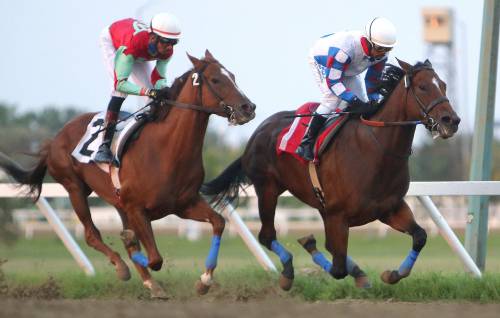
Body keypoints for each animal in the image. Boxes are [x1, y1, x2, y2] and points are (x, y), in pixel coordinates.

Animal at [0, 50, 256, 298]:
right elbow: (154, 258)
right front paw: (133, 251)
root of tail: (55, 139)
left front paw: (204, 281)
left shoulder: (184, 204)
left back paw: (150, 282)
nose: (248, 108)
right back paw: (123, 267)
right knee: (92, 235)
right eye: (216, 79)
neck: (166, 151)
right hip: (74, 188)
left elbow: (219, 222)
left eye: (233, 76)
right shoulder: (136, 208)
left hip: (118, 203)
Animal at [201, 59, 458, 290]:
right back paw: (288, 272)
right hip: (268, 189)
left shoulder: (389, 209)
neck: (376, 150)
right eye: (423, 86)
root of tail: (256, 134)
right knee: (267, 235)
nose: (452, 121)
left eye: (444, 85)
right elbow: (337, 268)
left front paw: (392, 274)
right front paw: (311, 246)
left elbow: (420, 236)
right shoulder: (337, 215)